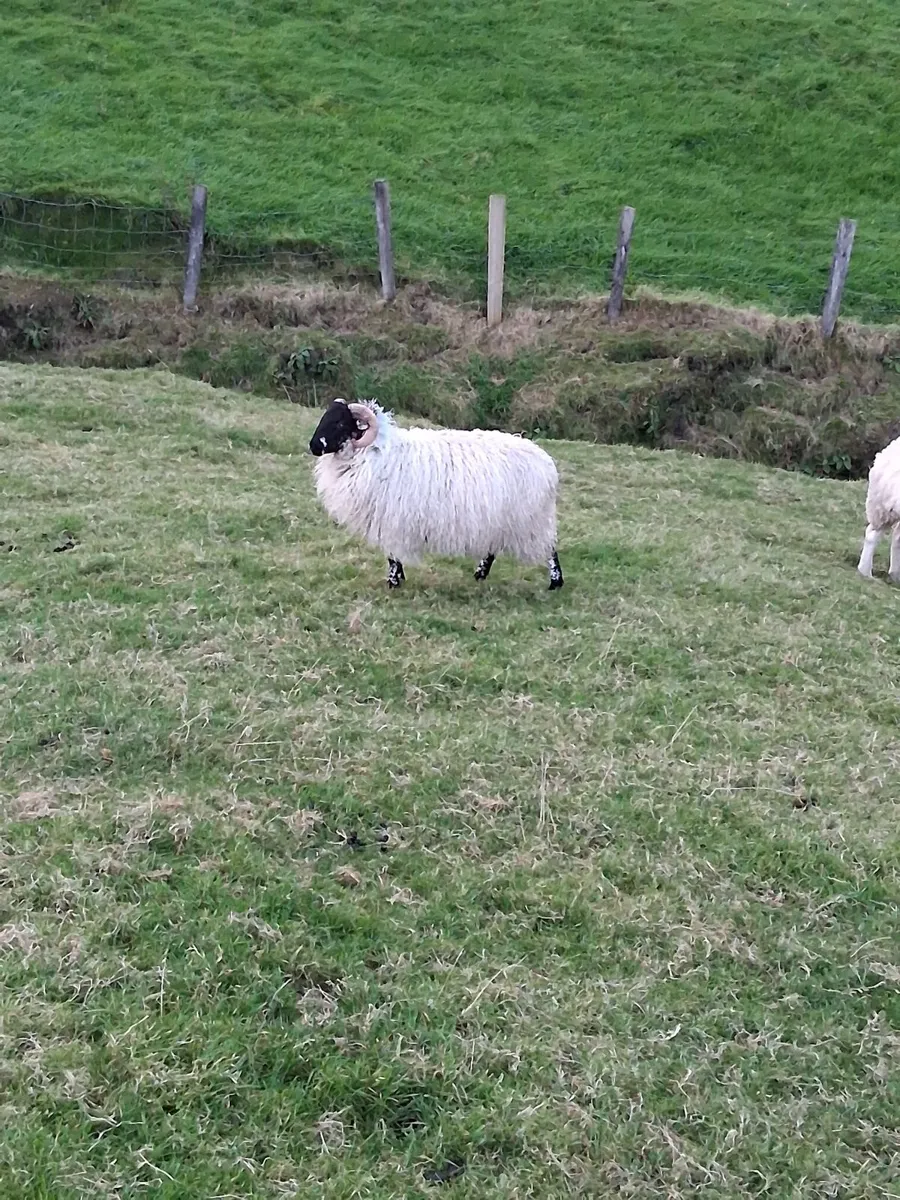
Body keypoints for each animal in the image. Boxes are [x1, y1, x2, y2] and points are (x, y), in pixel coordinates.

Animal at [308, 398, 564, 590]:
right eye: (324, 417)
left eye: (341, 424)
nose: (313, 446)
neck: (373, 453)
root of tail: (547, 463)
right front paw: (398, 579)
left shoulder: (392, 518)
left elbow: (392, 555)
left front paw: (393, 582)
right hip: (500, 518)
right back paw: (480, 574)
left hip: (531, 520)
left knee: (550, 550)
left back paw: (555, 582)